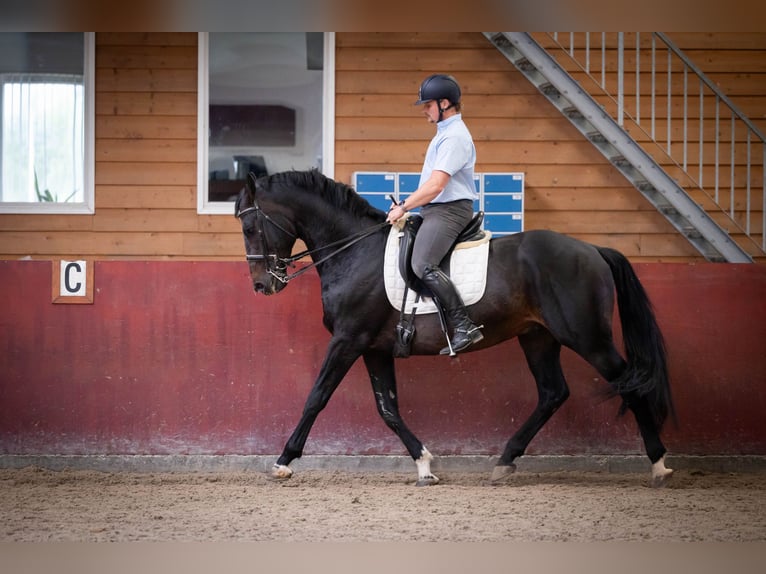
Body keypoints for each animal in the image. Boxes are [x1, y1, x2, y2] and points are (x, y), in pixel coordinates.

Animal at [236, 169, 680, 488]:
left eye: (250, 228)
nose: (262, 285)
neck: (354, 251)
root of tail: (593, 250)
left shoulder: (348, 340)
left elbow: (316, 398)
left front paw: (283, 461)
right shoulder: (374, 347)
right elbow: (388, 408)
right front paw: (424, 465)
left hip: (587, 337)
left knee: (628, 384)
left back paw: (659, 464)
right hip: (538, 337)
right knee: (553, 393)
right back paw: (505, 461)